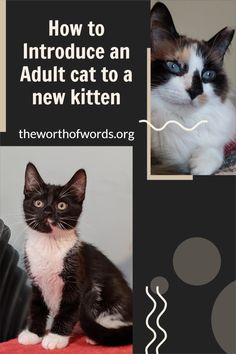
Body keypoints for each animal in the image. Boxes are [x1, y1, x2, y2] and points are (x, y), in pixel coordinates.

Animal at [18, 164, 133, 352]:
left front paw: (56, 337)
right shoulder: (36, 280)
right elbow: (36, 307)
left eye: (61, 205)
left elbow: (68, 309)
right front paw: (33, 333)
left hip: (112, 295)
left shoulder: (77, 278)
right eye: (38, 203)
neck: (49, 245)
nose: (48, 211)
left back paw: (96, 336)